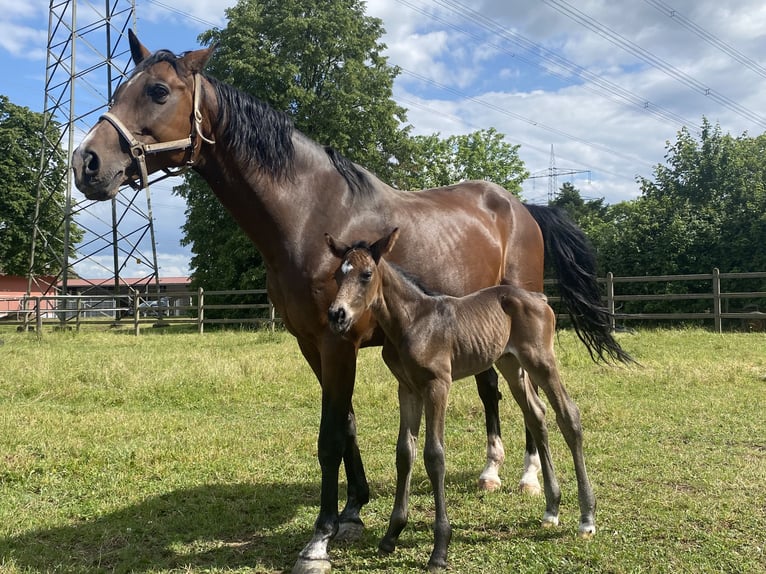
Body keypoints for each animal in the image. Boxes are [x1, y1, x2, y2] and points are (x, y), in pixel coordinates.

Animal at [326, 228, 595, 570]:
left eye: (366, 274)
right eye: (337, 274)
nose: (337, 315)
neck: (412, 320)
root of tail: (541, 298)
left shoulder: (438, 385)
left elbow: (434, 455)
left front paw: (440, 549)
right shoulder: (407, 388)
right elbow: (405, 452)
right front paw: (392, 534)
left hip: (541, 361)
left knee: (568, 415)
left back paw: (587, 519)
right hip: (512, 364)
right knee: (537, 415)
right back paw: (551, 510)